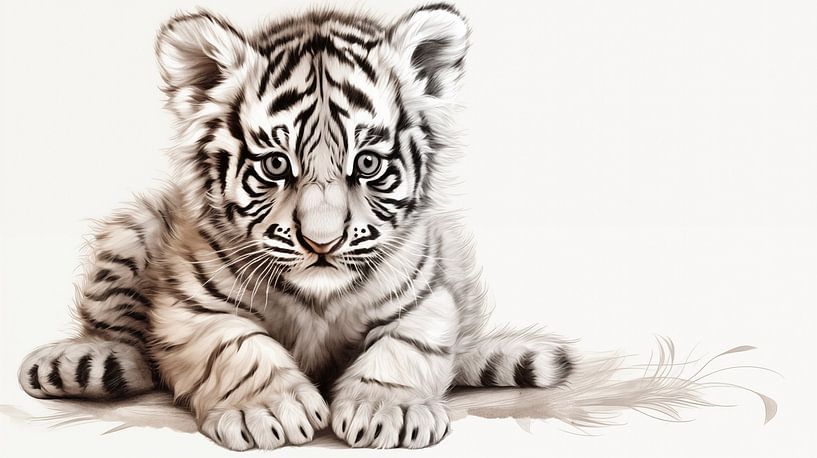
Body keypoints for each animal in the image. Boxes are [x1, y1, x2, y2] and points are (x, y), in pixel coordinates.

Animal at [18, 3, 573, 450]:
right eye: (275, 165)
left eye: (367, 163)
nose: (322, 242)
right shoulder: (190, 304)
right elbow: (235, 346)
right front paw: (268, 410)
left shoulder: (425, 292)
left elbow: (406, 345)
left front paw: (388, 410)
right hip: (131, 234)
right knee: (123, 338)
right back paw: (84, 363)